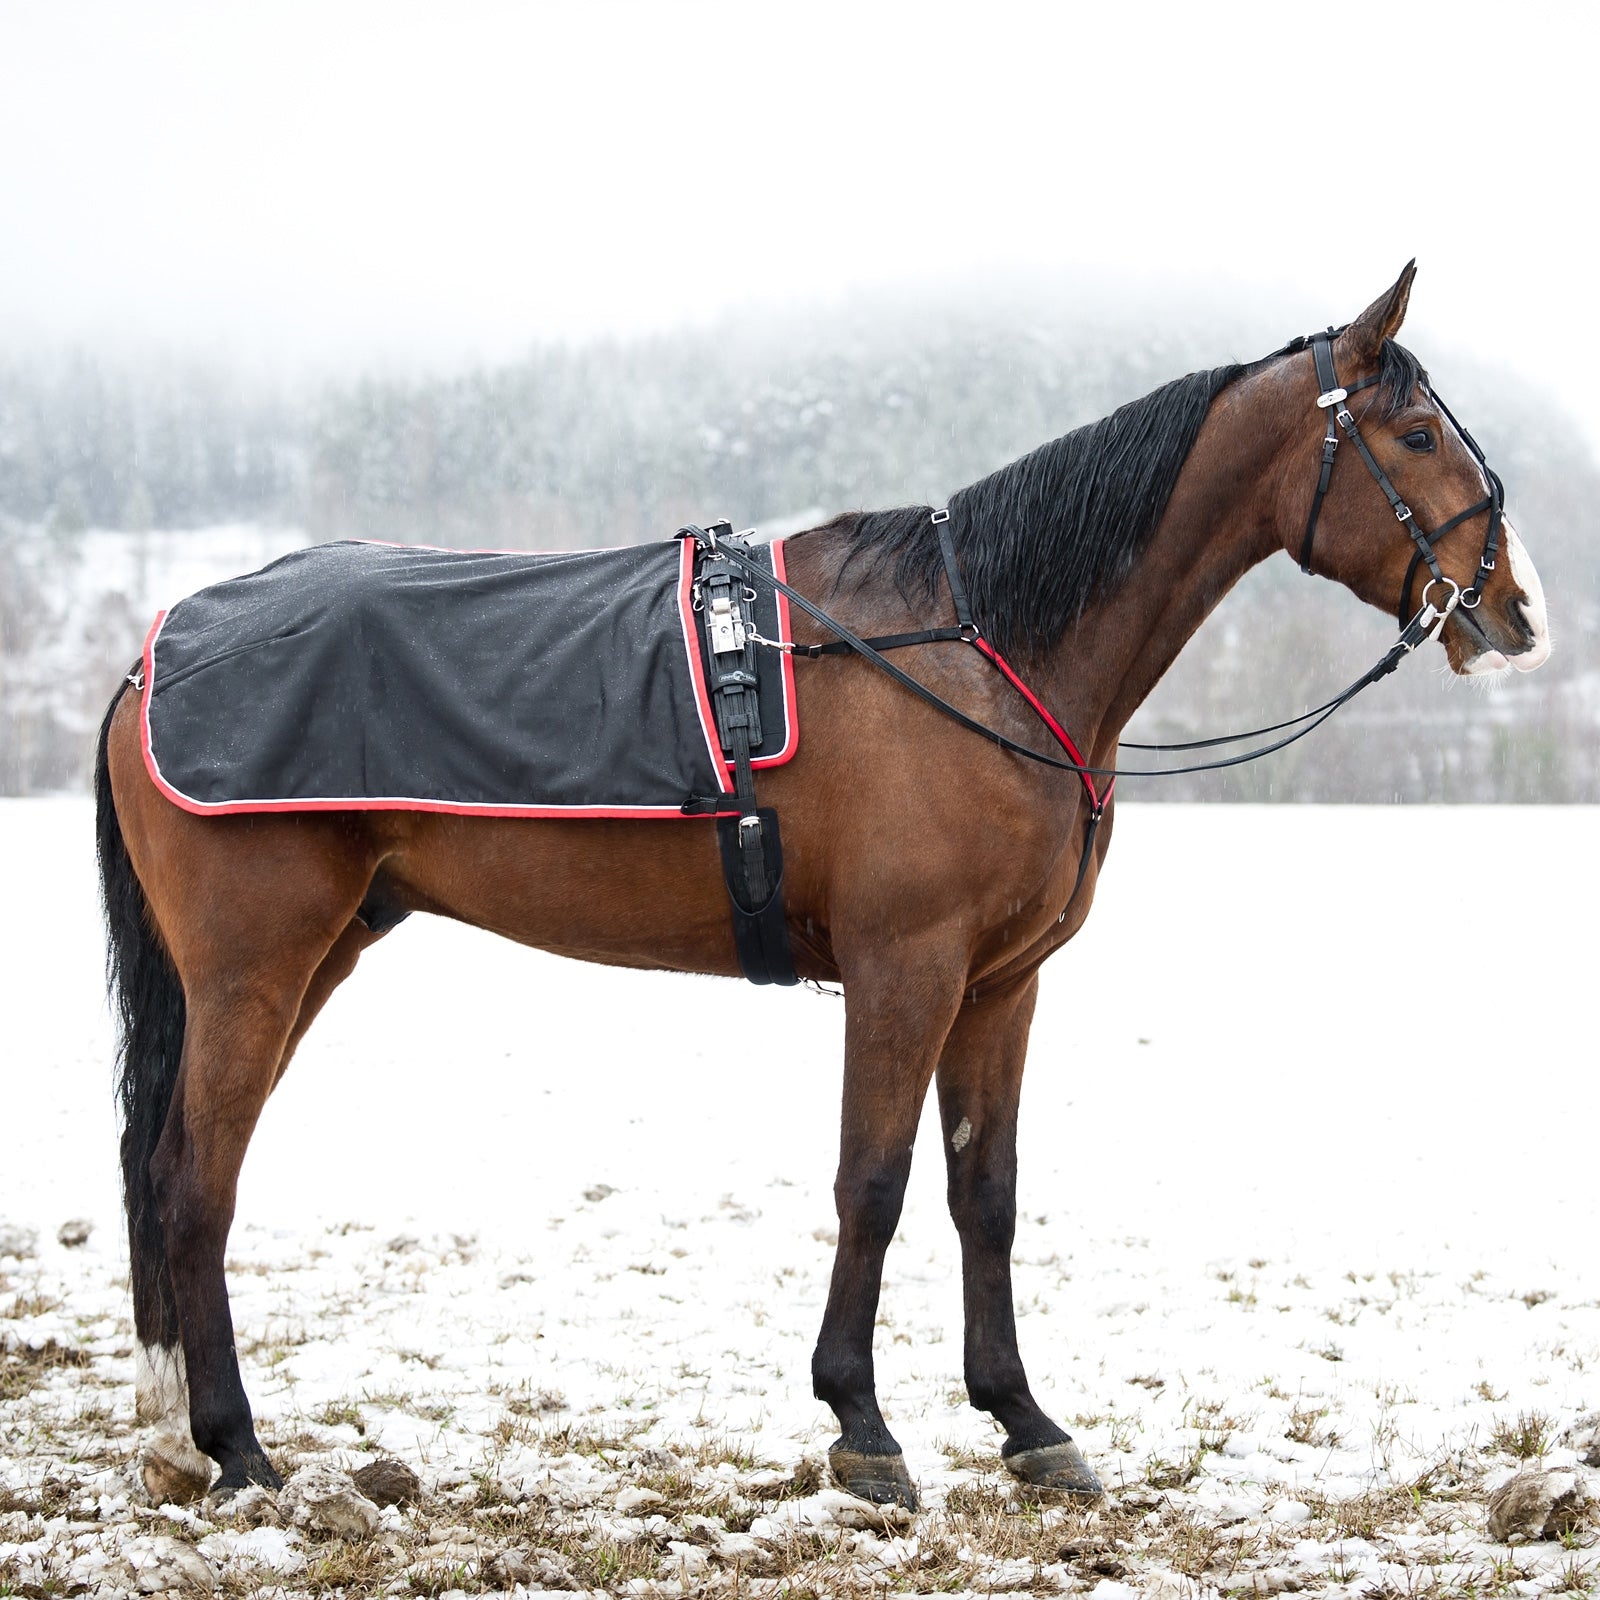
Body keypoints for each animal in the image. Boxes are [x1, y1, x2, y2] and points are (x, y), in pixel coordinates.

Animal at [95, 265, 1550, 1510]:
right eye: (1414, 432)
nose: (1518, 610)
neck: (978, 647)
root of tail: (152, 659)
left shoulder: (1001, 985)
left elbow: (984, 1194)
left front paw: (1025, 1422)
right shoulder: (906, 967)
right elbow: (875, 1182)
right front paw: (862, 1426)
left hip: (316, 954)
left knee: (175, 1175)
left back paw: (186, 1436)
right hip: (257, 967)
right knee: (194, 1181)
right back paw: (236, 1449)